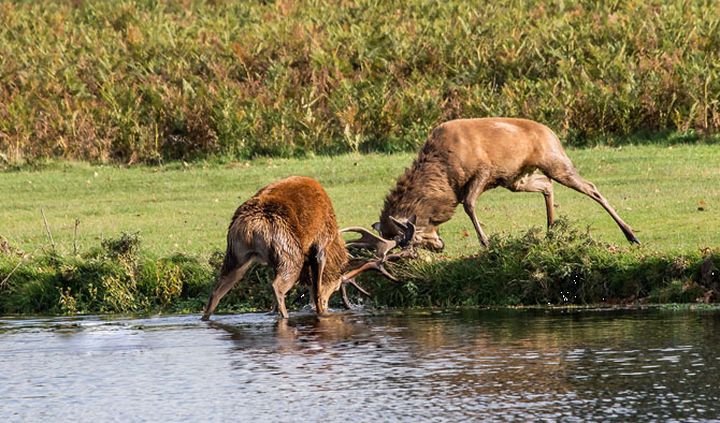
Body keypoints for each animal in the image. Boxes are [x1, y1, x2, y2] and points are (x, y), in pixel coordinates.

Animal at [202, 176, 400, 322]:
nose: (328, 303)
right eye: (336, 286)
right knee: (277, 286)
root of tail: (252, 226)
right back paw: (285, 317)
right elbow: (317, 287)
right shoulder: (320, 245)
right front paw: (321, 311)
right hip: (289, 252)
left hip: (236, 255)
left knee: (217, 291)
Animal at [374, 117, 640, 252]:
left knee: (590, 187)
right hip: (516, 178)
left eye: (413, 240)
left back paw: (631, 235)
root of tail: (552, 133)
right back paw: (551, 231)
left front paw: (486, 242)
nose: (439, 247)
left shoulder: (484, 170)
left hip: (555, 161)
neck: (445, 176)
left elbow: (469, 204)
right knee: (546, 185)